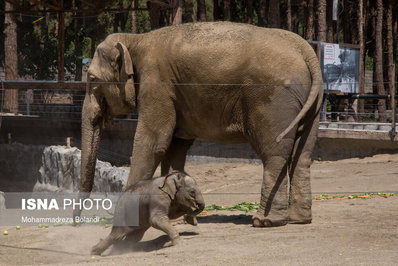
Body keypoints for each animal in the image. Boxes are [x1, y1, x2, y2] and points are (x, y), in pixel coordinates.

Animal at [77, 21, 324, 228]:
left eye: (91, 79)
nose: (76, 222)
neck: (135, 39)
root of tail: (306, 51)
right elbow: (176, 146)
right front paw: (178, 214)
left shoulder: (157, 84)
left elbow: (153, 143)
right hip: (311, 102)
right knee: (302, 154)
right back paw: (299, 219)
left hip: (272, 99)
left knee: (274, 153)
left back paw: (264, 221)